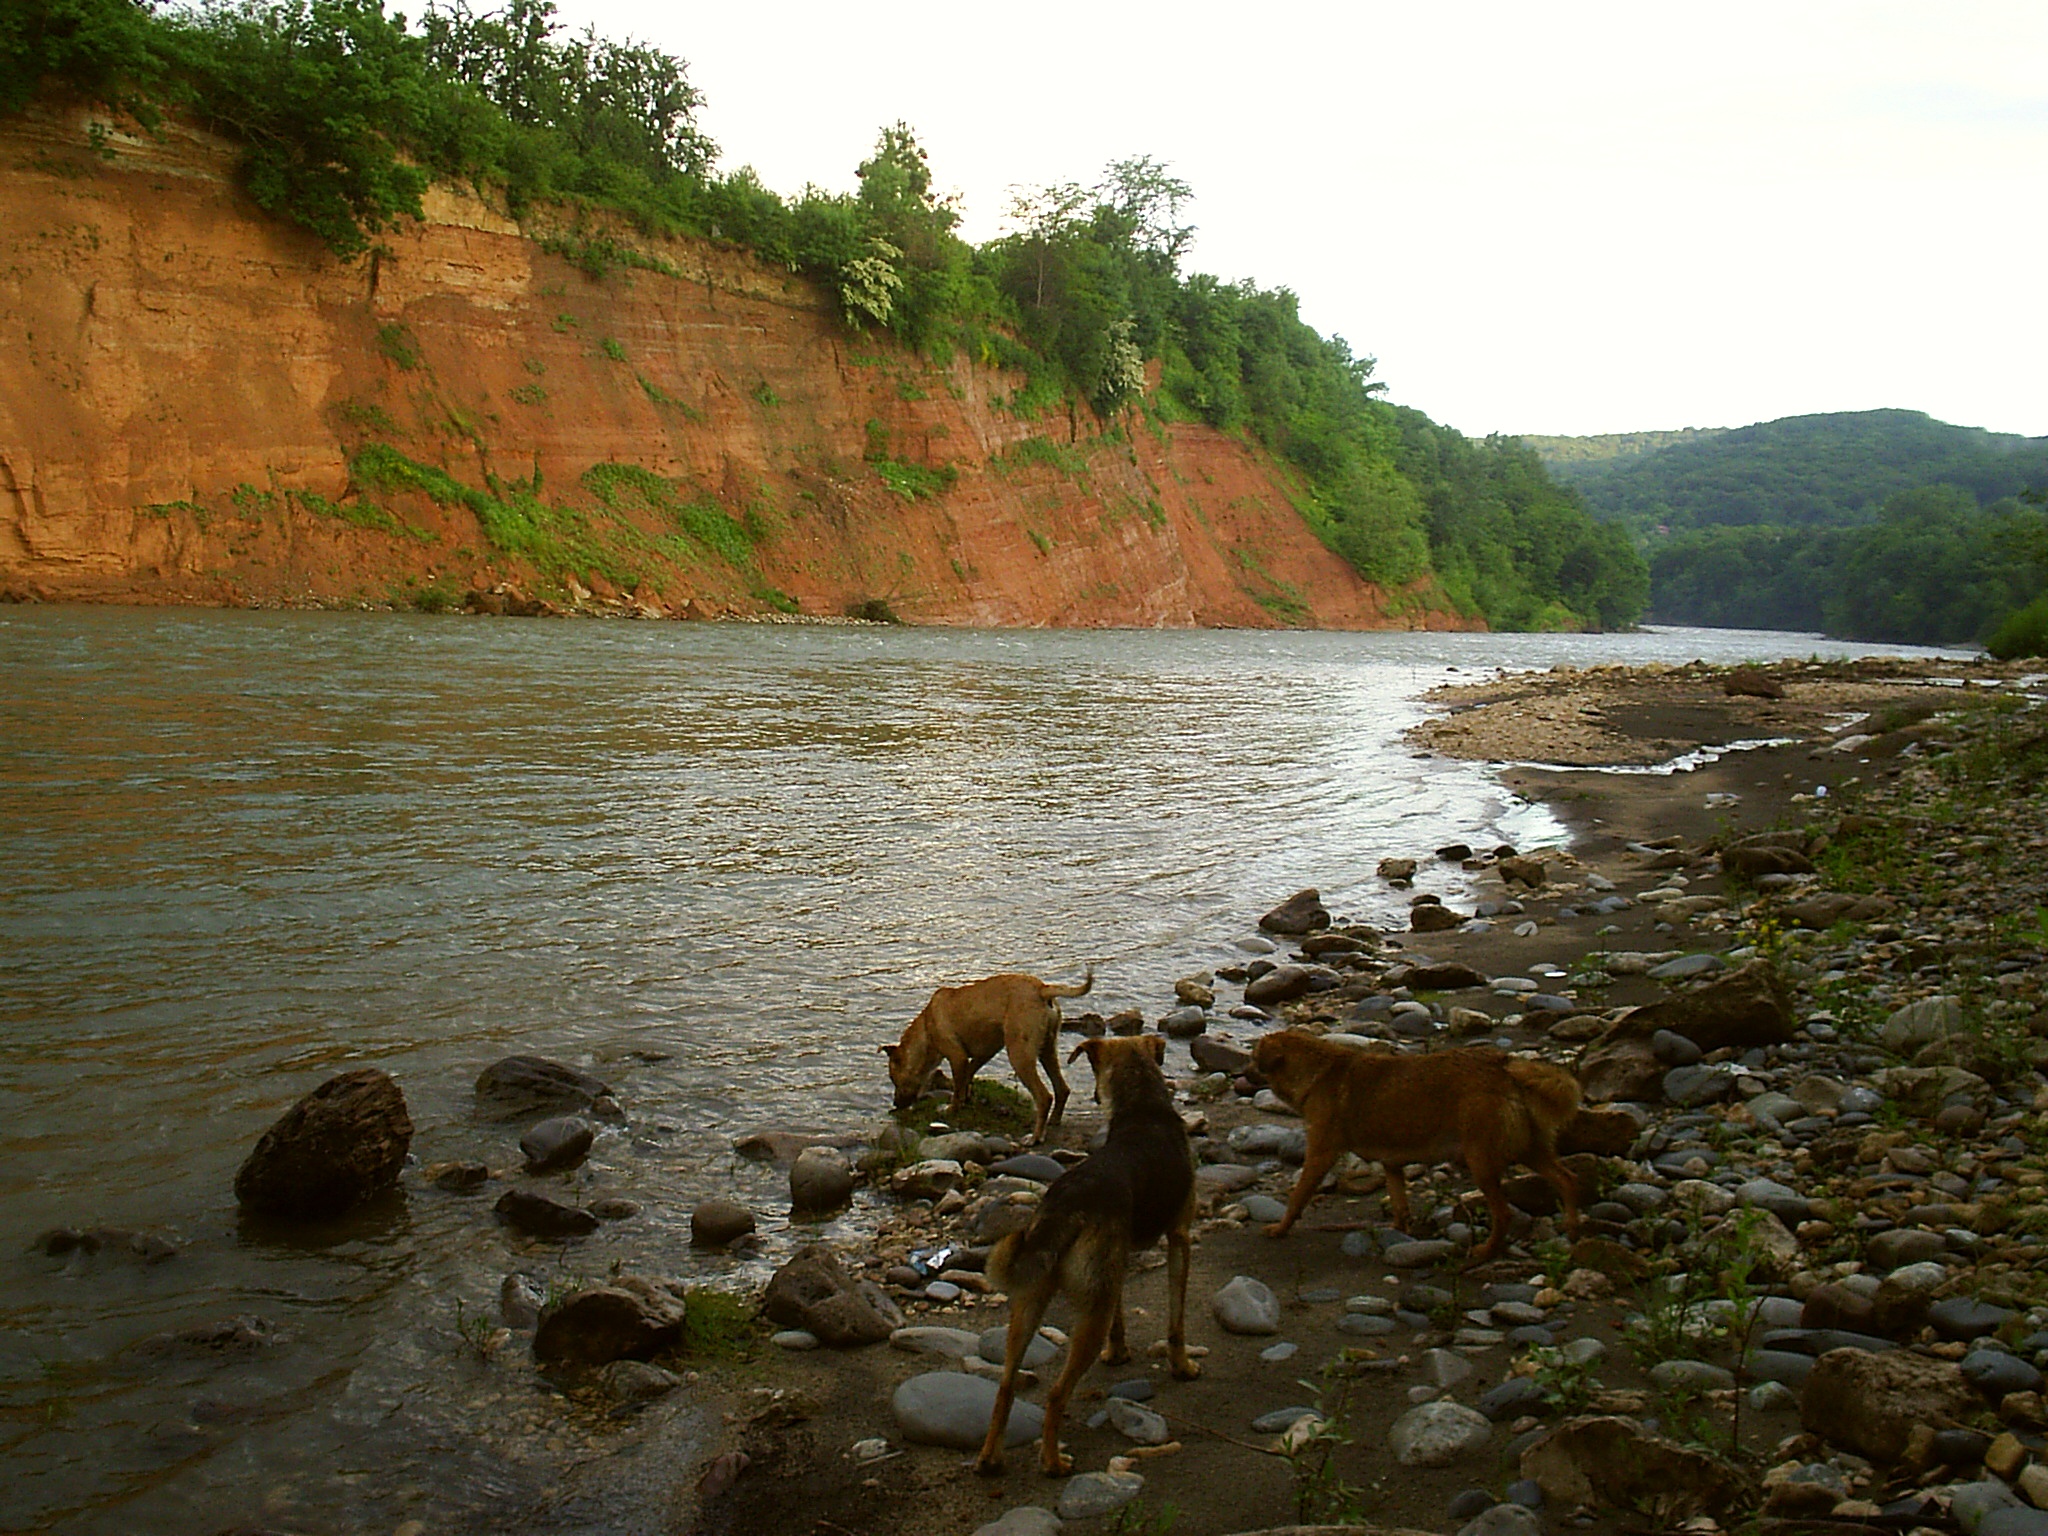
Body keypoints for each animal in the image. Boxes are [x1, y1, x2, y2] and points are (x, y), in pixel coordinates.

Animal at [888, 974, 1097, 1146]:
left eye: (893, 1079)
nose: (895, 1104)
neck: (925, 1030)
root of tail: (1042, 989)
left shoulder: (957, 1057)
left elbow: (957, 1087)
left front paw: (951, 1109)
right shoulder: (985, 1052)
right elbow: (967, 1076)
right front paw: (967, 1097)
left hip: (1020, 1055)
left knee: (1044, 1096)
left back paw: (1035, 1137)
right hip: (1047, 1050)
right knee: (1062, 1088)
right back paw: (1053, 1120)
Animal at [974, 1036, 1196, 1482]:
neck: (1144, 1107)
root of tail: (1065, 1207)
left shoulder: (1115, 1264)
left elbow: (1121, 1318)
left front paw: (1119, 1353)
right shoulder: (1179, 1237)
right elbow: (1176, 1321)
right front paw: (1182, 1366)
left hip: (1032, 1297)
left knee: (1006, 1383)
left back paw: (990, 1458)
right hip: (1085, 1312)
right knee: (1057, 1392)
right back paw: (1052, 1461)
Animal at [1245, 1028, 1581, 1269]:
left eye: (1253, 1056)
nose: (1242, 1073)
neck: (1318, 1072)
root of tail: (1504, 1066)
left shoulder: (1320, 1153)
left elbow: (1297, 1197)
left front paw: (1280, 1229)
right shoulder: (1392, 1163)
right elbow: (1399, 1204)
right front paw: (1397, 1229)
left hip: (1481, 1160)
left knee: (1504, 1213)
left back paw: (1485, 1253)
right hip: (1529, 1148)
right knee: (1566, 1178)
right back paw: (1572, 1228)